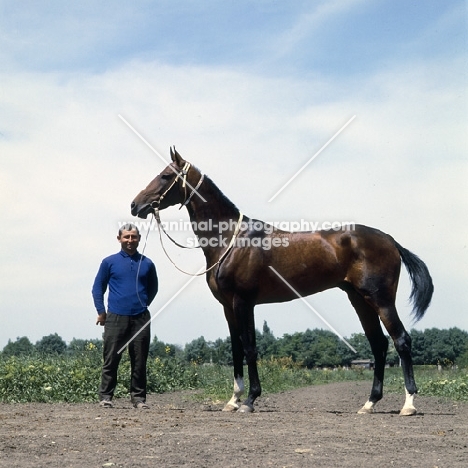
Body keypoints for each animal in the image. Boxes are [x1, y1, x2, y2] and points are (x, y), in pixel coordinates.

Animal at [130, 148, 434, 414]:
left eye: (165, 176)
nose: (136, 205)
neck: (230, 240)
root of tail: (390, 240)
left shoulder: (243, 302)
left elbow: (250, 348)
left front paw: (250, 400)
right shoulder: (228, 307)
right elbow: (236, 350)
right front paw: (233, 400)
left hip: (381, 300)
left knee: (401, 341)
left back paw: (408, 404)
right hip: (359, 300)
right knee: (379, 344)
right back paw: (369, 404)